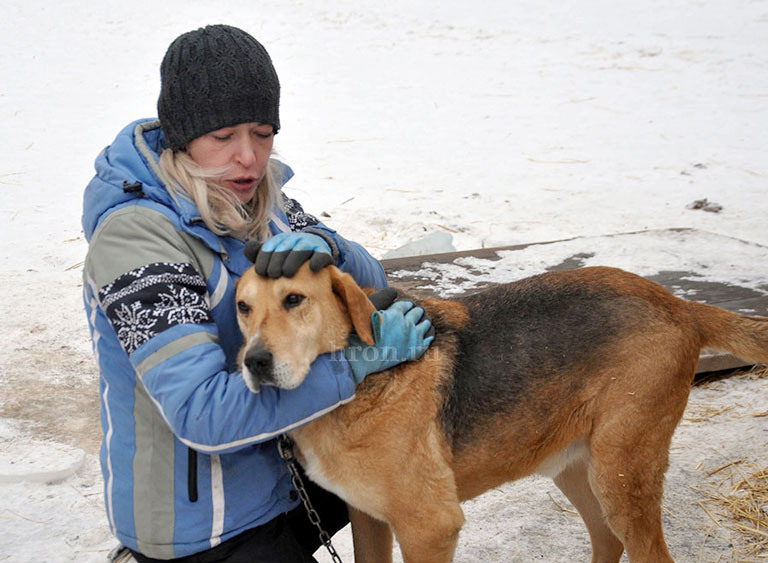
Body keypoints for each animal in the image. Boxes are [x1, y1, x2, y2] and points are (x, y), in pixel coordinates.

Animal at [234, 264, 768, 563]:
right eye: (242, 307)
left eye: (294, 299)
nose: (253, 362)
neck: (355, 381)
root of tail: (679, 305)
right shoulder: (368, 518)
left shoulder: (430, 528)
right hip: (577, 468)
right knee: (608, 542)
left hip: (619, 472)